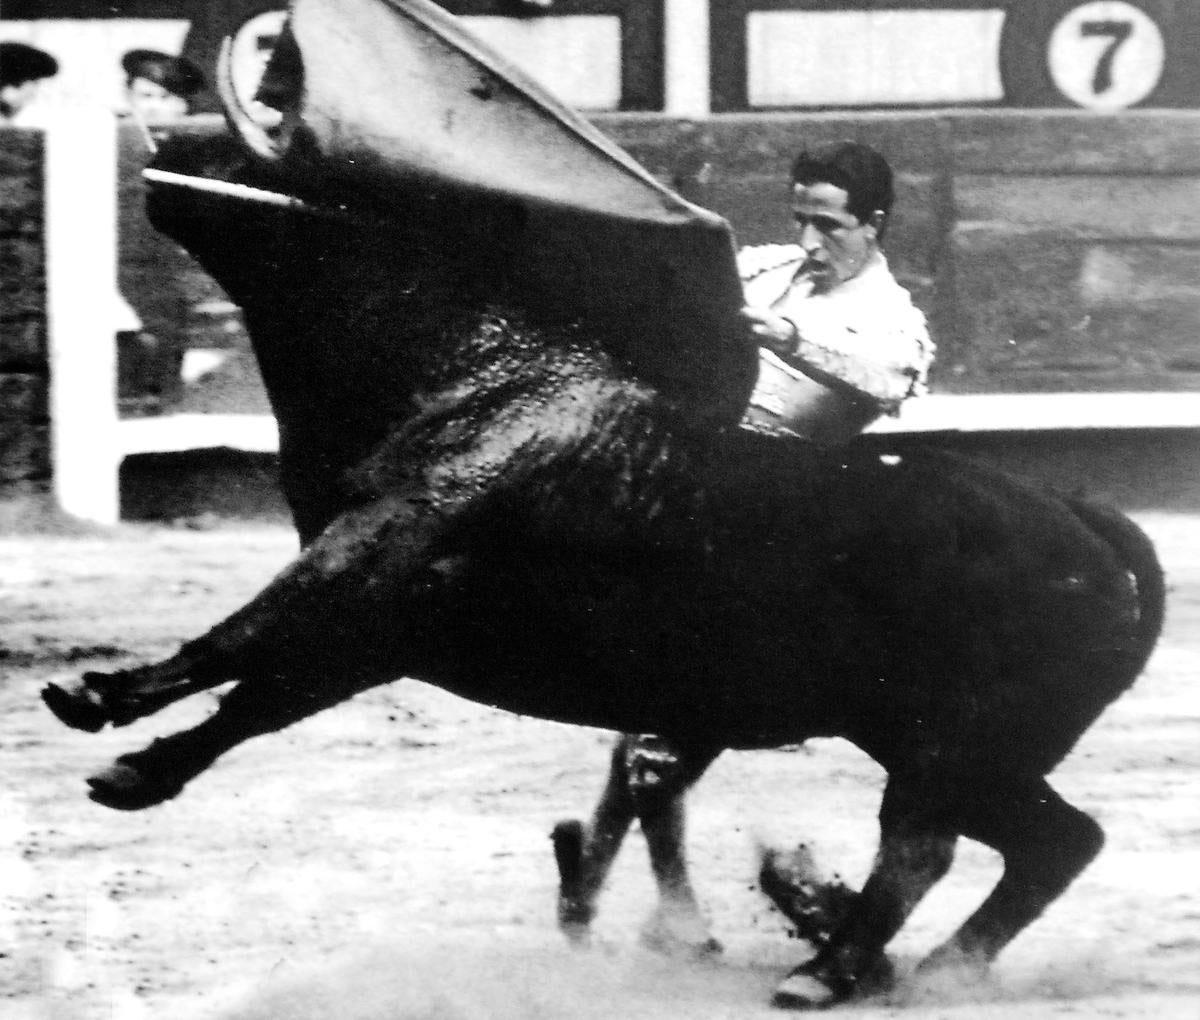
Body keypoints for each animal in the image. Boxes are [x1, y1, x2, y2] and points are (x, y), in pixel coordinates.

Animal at [39, 0, 1161, 1003]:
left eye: (258, 161)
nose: (155, 146)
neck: (465, 374)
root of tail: (1094, 526)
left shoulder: (375, 557)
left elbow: (247, 635)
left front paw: (100, 697)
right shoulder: (390, 628)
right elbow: (264, 692)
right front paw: (134, 771)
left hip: (949, 737)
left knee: (926, 841)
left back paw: (827, 970)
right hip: (955, 740)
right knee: (1056, 840)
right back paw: (927, 968)